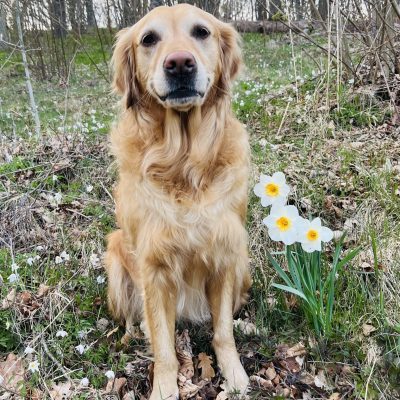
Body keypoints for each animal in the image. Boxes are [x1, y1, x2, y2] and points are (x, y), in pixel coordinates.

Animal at [105, 4, 251, 399]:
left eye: (201, 32)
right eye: (148, 39)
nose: (180, 63)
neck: (184, 161)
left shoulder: (225, 252)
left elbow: (223, 331)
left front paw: (234, 375)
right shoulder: (153, 268)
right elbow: (164, 347)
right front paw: (165, 388)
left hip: (243, 261)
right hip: (115, 259)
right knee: (132, 319)